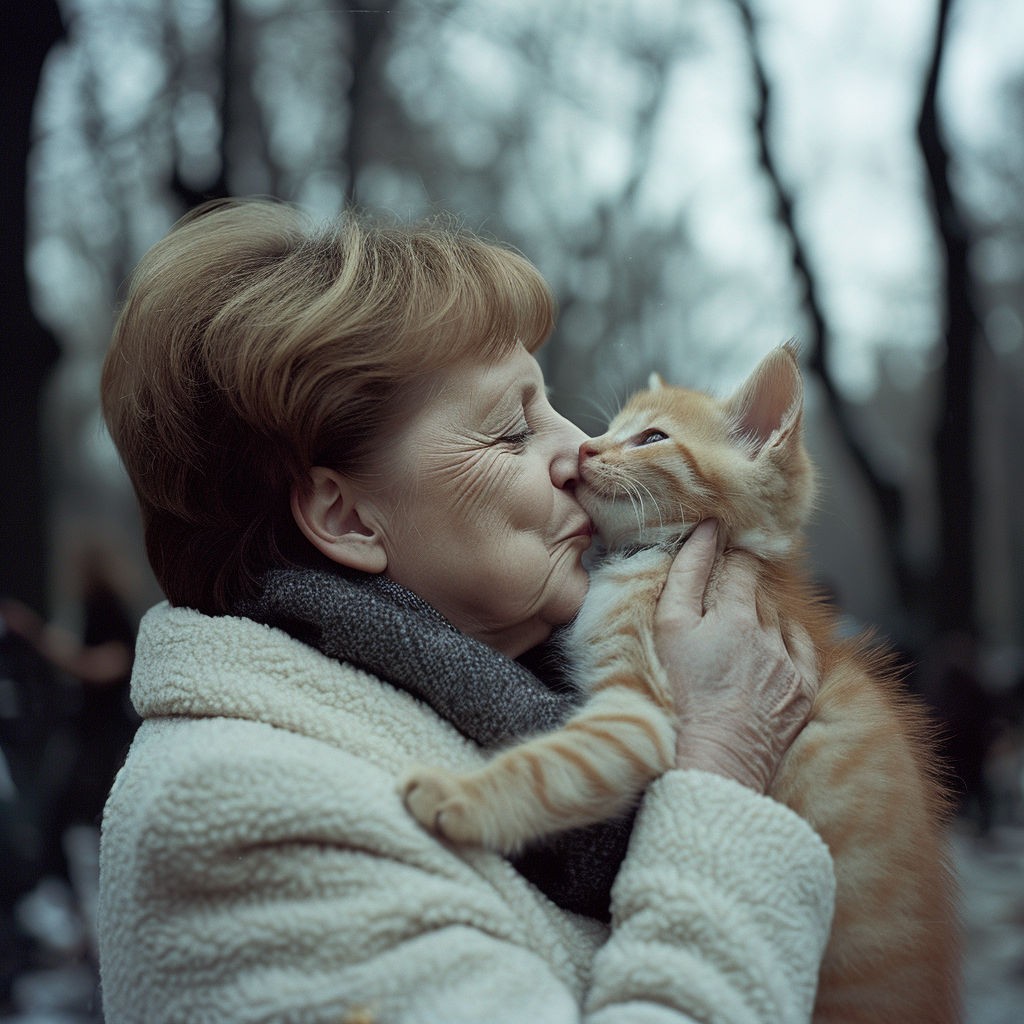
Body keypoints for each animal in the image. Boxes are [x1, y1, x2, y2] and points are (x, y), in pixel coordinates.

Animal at [399, 346, 958, 1024]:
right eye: (609, 429)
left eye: (652, 438)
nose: (584, 449)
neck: (659, 556)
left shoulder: (639, 713)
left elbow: (548, 765)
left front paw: (457, 794)